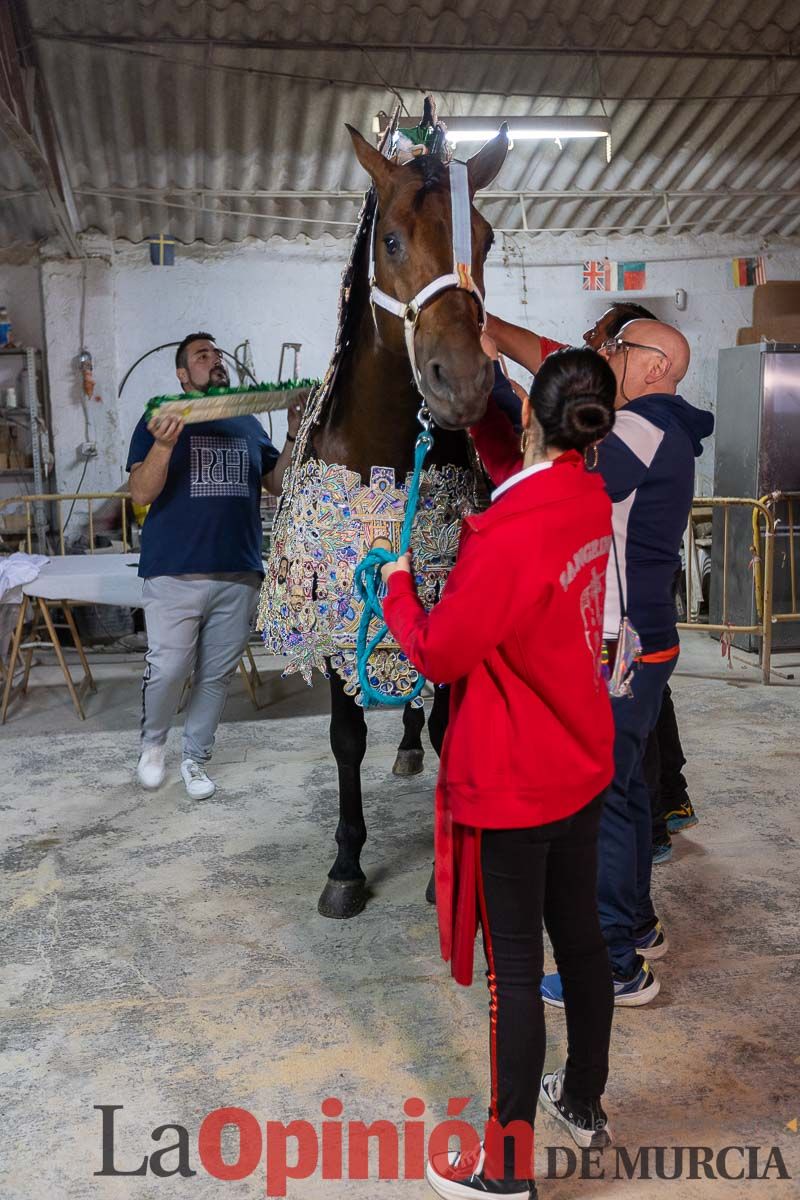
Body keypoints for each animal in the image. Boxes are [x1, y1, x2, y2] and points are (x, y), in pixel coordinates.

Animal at [309, 124, 510, 916]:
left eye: (484, 239)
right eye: (391, 240)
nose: (466, 385)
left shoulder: (450, 590)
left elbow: (452, 717)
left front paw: (444, 866)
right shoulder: (337, 600)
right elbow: (345, 737)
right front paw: (344, 866)